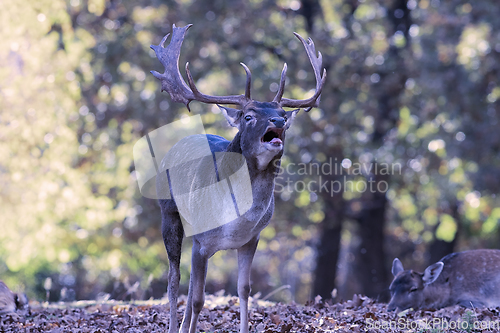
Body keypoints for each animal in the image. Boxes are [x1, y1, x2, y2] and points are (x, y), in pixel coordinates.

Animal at [150, 24, 326, 332]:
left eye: (282, 113)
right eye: (248, 116)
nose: (279, 122)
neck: (236, 218)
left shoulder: (250, 239)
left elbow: (244, 290)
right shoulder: (203, 241)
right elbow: (198, 299)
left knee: (190, 282)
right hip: (169, 213)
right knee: (174, 278)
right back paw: (174, 326)